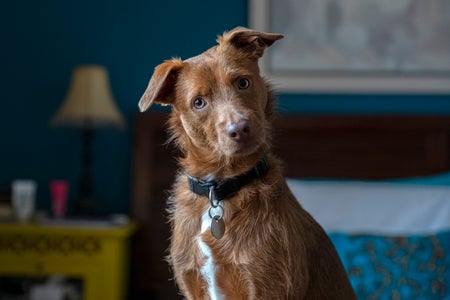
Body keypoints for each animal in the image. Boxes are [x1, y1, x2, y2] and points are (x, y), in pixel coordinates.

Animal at [137, 27, 356, 298]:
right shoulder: (191, 283)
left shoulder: (268, 286)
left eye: (242, 82)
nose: (240, 129)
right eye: (198, 102)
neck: (219, 189)